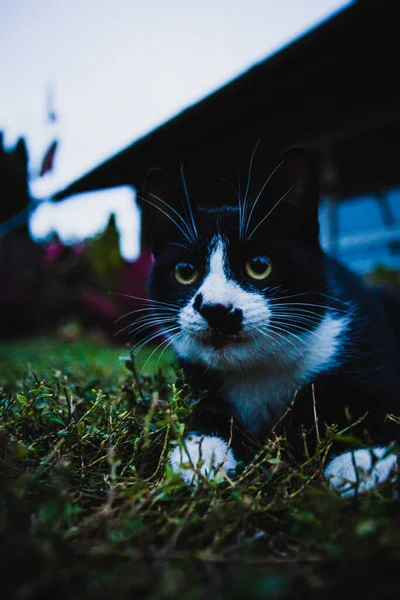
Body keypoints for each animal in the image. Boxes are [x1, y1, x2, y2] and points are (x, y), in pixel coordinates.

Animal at [139, 149, 398, 496]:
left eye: (259, 265)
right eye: (185, 271)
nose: (215, 308)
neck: (256, 373)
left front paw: (361, 460)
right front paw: (201, 452)